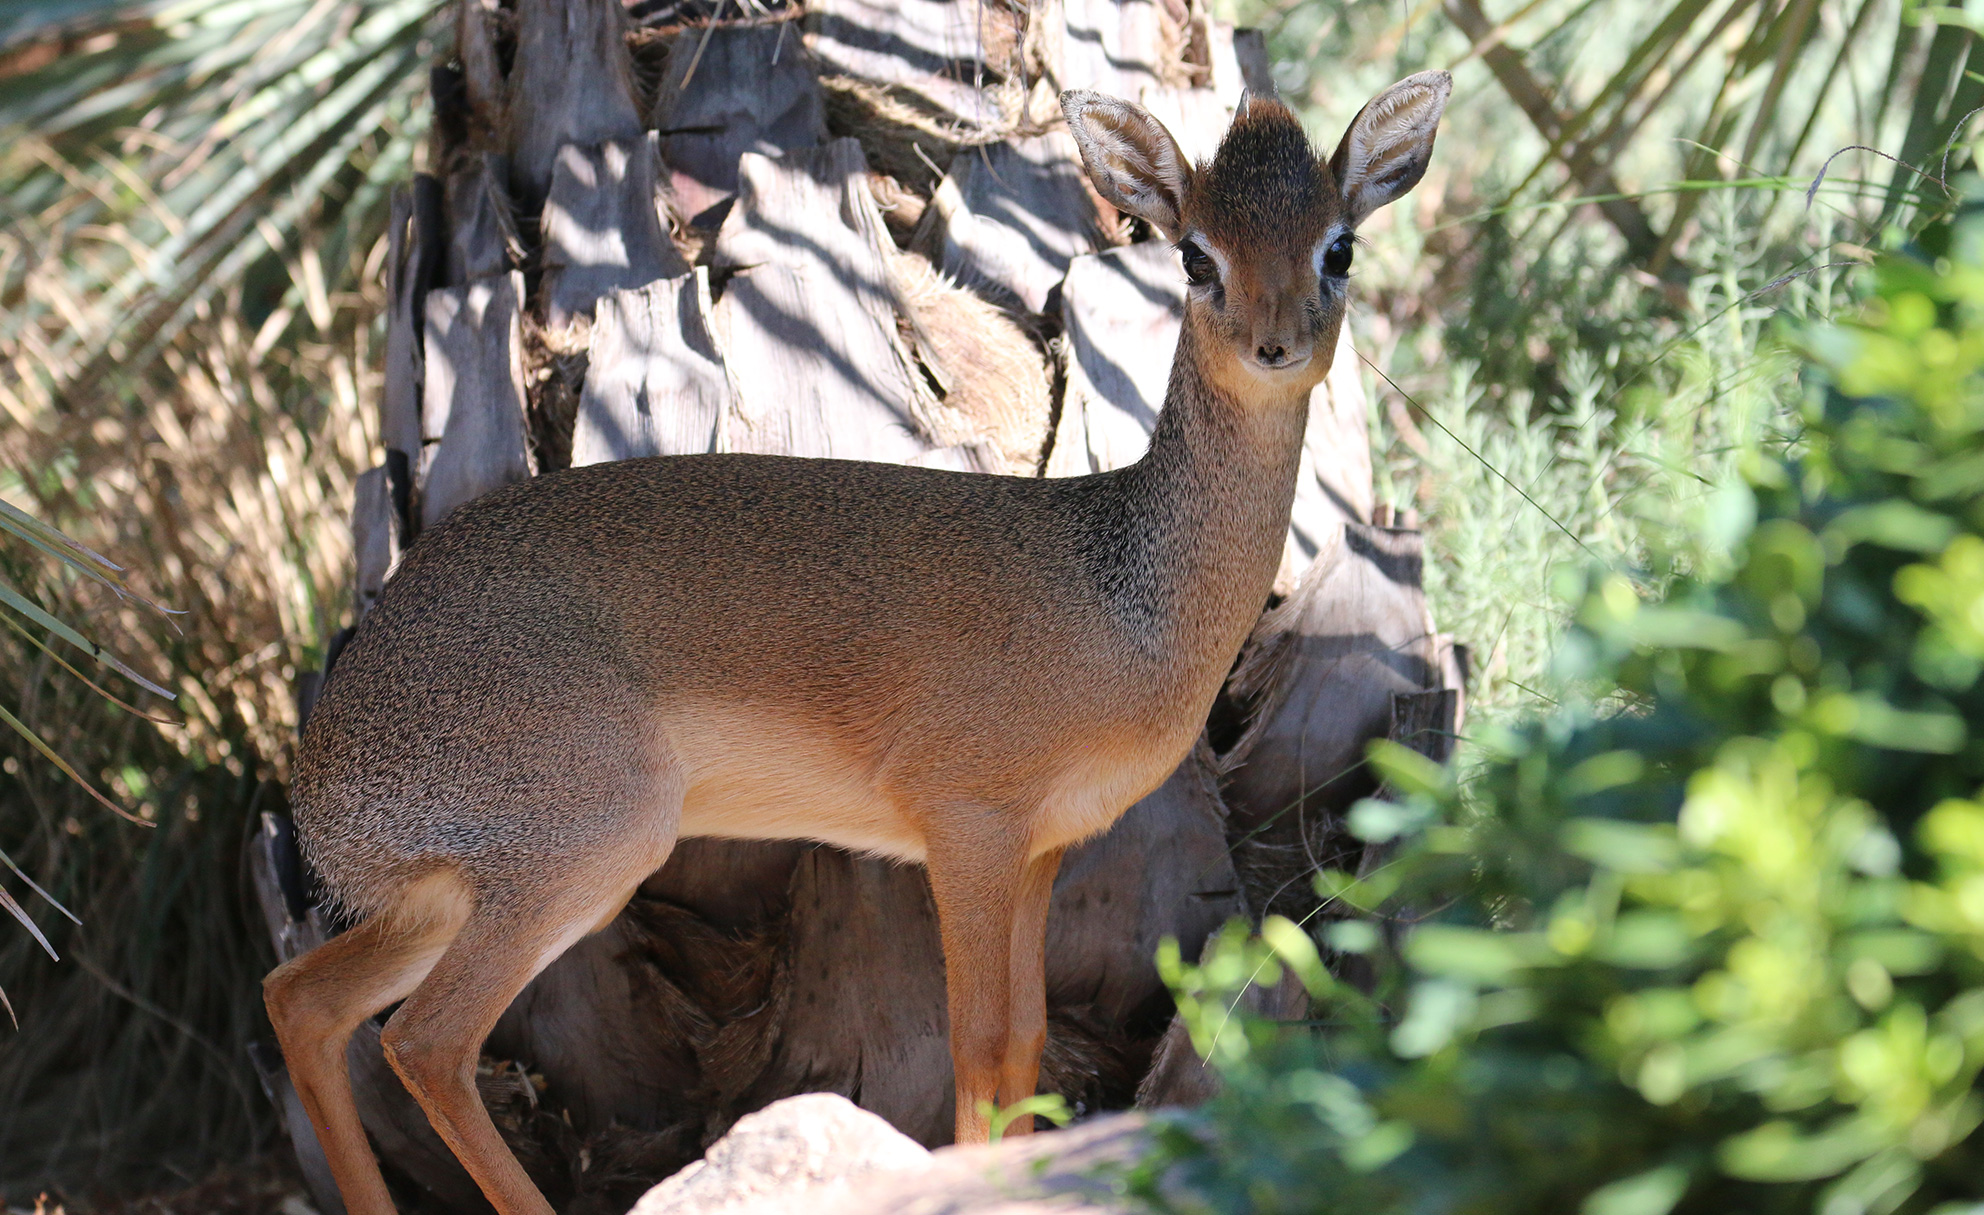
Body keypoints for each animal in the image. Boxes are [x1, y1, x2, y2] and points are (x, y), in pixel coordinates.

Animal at [264, 71, 1450, 1215]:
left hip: (455, 892)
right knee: (426, 1040)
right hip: (576, 853)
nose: (1275, 344)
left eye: (1336, 246)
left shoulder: (1041, 847)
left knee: (304, 999)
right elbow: (976, 1041)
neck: (1121, 590)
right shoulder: (966, 825)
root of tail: (324, 775)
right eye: (1196, 253)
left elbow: (1025, 1039)